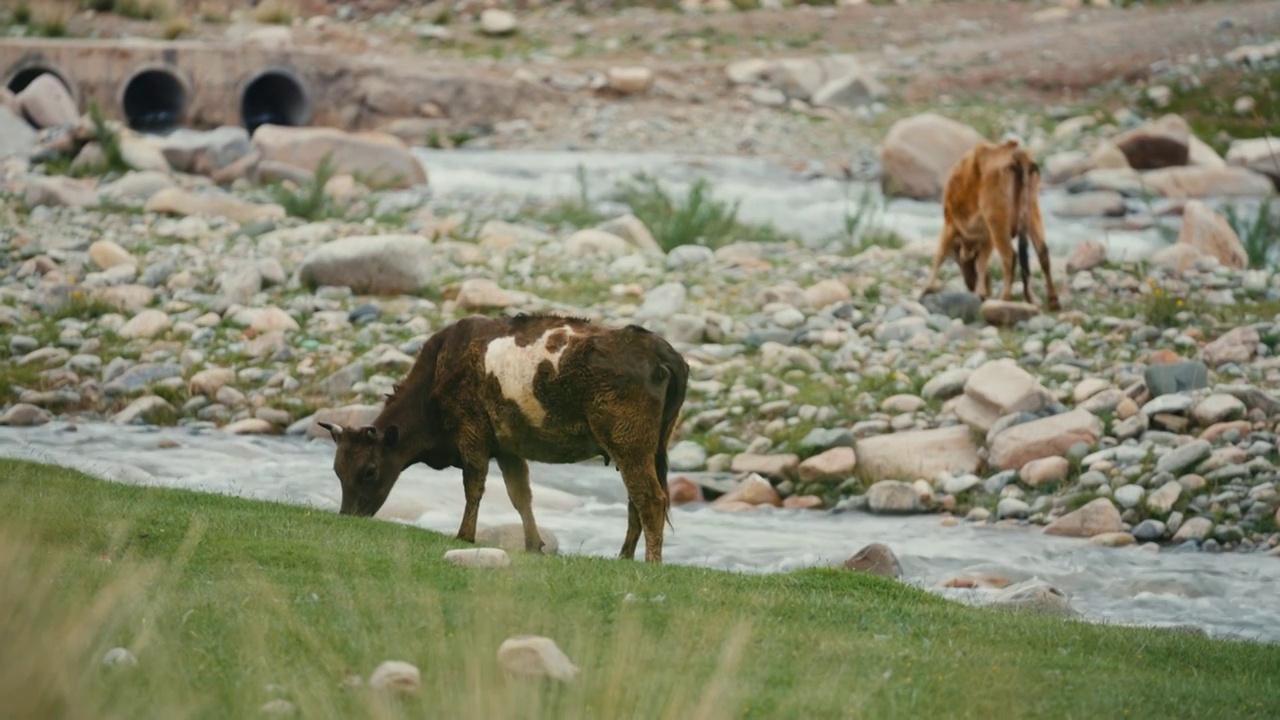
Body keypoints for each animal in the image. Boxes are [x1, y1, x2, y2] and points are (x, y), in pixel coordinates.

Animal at [318, 311, 691, 563]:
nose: (348, 515)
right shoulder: (509, 448)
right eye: (337, 470)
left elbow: (474, 486)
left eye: (369, 470)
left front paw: (465, 536)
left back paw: (651, 562)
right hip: (643, 449)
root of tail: (663, 352)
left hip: (629, 444)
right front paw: (534, 545)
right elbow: (520, 495)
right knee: (635, 501)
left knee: (650, 499)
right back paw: (624, 557)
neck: (438, 372)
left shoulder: (473, 434)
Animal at [921, 139, 1059, 310]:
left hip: (997, 219)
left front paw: (926, 288)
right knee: (1042, 252)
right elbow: (982, 262)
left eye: (958, 259)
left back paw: (1004, 299)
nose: (970, 285)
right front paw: (982, 292)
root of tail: (1017, 153)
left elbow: (940, 255)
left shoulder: (951, 224)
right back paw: (1051, 301)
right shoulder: (987, 236)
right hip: (1033, 211)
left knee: (1010, 256)